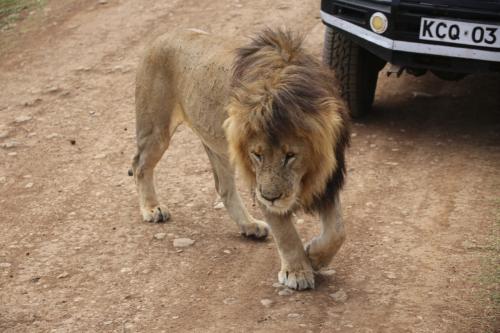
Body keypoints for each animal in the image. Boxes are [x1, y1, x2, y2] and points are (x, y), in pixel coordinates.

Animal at [133, 27, 352, 288]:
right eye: (257, 155)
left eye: (290, 155)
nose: (270, 197)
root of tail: (163, 35)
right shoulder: (258, 179)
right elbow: (286, 232)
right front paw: (297, 271)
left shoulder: (329, 178)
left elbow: (338, 230)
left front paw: (315, 257)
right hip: (156, 130)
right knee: (140, 165)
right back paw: (152, 208)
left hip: (219, 148)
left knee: (224, 188)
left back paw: (249, 226)